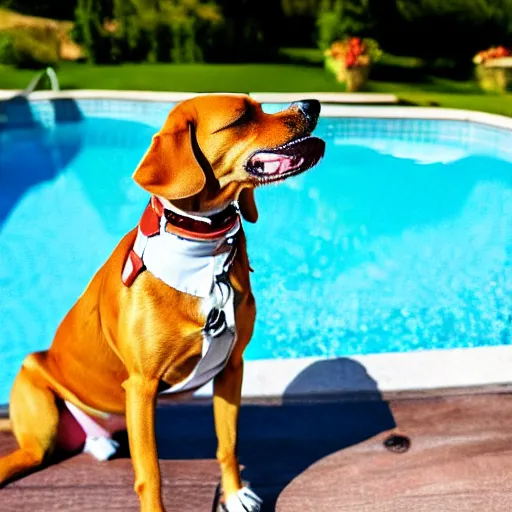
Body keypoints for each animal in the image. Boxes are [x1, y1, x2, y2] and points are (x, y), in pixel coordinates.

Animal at [0, 94, 324, 510]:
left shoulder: (231, 369)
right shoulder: (142, 387)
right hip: (39, 430)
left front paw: (234, 492)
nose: (311, 104)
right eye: (241, 117)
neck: (204, 255)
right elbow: (150, 473)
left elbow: (228, 443)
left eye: (258, 105)